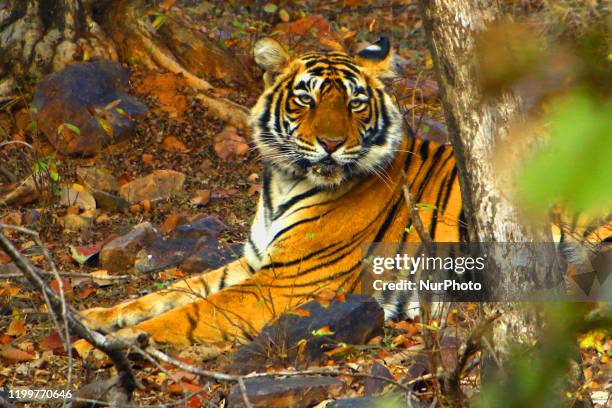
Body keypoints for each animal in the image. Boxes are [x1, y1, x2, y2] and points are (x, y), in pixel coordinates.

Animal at [71, 38, 608, 356]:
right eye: (305, 99)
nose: (330, 143)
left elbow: (192, 312)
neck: (283, 183)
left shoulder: (288, 282)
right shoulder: (257, 261)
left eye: (354, 103)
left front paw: (105, 343)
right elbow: (175, 290)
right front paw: (96, 317)